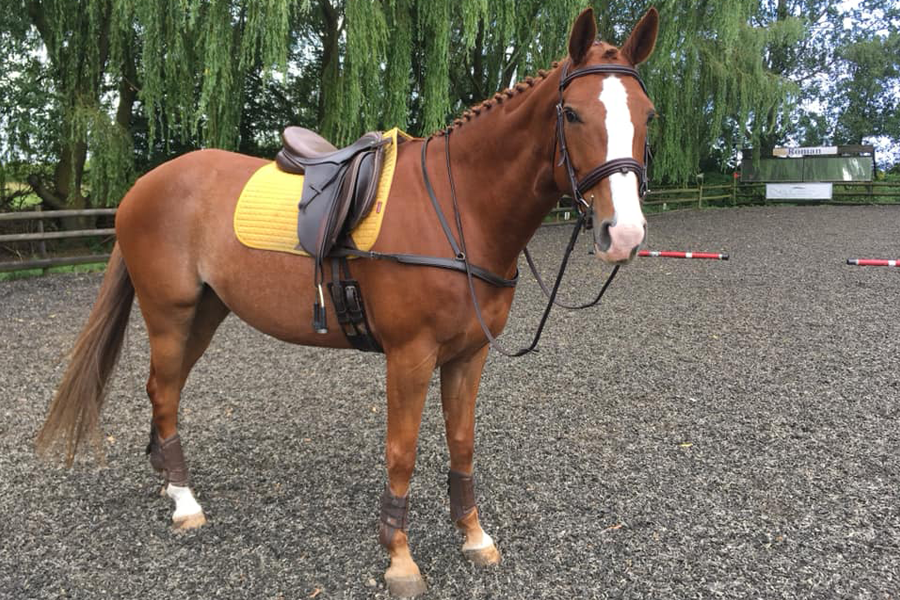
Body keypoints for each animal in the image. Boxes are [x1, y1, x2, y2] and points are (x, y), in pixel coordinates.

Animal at [36, 7, 658, 597]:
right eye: (572, 114)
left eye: (648, 115)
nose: (623, 233)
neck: (459, 209)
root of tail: (142, 186)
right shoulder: (410, 356)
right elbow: (402, 453)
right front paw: (400, 559)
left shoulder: (468, 354)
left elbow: (461, 445)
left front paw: (474, 536)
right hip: (170, 314)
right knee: (164, 391)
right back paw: (186, 503)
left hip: (207, 314)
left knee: (163, 390)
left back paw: (168, 478)